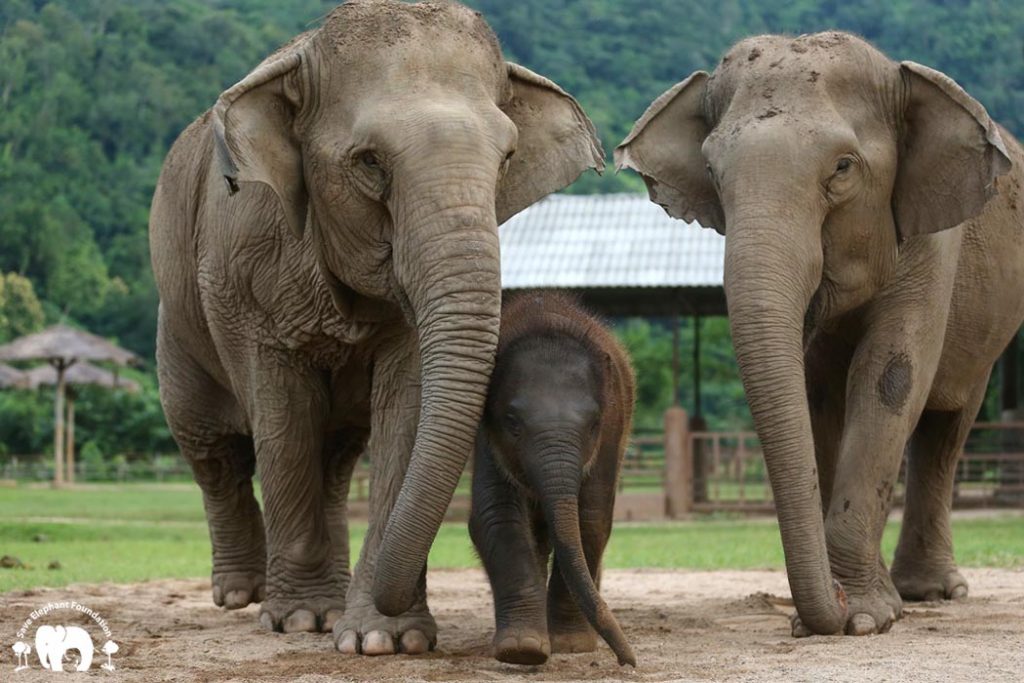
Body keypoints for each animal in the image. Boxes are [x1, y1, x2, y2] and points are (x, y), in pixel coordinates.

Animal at [149, 0, 603, 656]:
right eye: (368, 162)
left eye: (508, 160)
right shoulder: (245, 270)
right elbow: (283, 419)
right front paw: (303, 621)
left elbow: (408, 407)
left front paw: (387, 638)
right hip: (179, 321)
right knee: (212, 448)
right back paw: (242, 595)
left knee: (335, 458)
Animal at [469, 293, 636, 666]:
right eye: (512, 422)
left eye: (593, 424)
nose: (629, 660)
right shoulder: (485, 436)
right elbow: (495, 515)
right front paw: (522, 649)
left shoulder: (612, 429)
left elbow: (591, 518)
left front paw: (570, 645)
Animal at [616, 31, 1024, 637]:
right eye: (711, 171)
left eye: (843, 167)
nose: (825, 603)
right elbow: (818, 394)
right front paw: (857, 610)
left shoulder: (934, 241)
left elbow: (888, 377)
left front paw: (862, 618)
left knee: (947, 423)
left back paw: (933, 592)